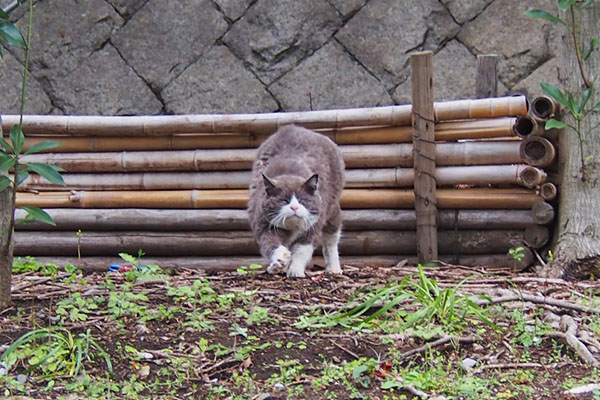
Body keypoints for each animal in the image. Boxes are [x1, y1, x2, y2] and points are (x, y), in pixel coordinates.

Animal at [246, 125, 344, 278]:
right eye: (284, 200)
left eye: (303, 200)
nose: (294, 208)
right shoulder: (264, 225)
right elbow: (270, 244)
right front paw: (281, 258)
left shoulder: (312, 227)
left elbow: (302, 250)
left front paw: (296, 270)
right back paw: (275, 267)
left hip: (332, 210)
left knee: (331, 240)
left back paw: (334, 268)